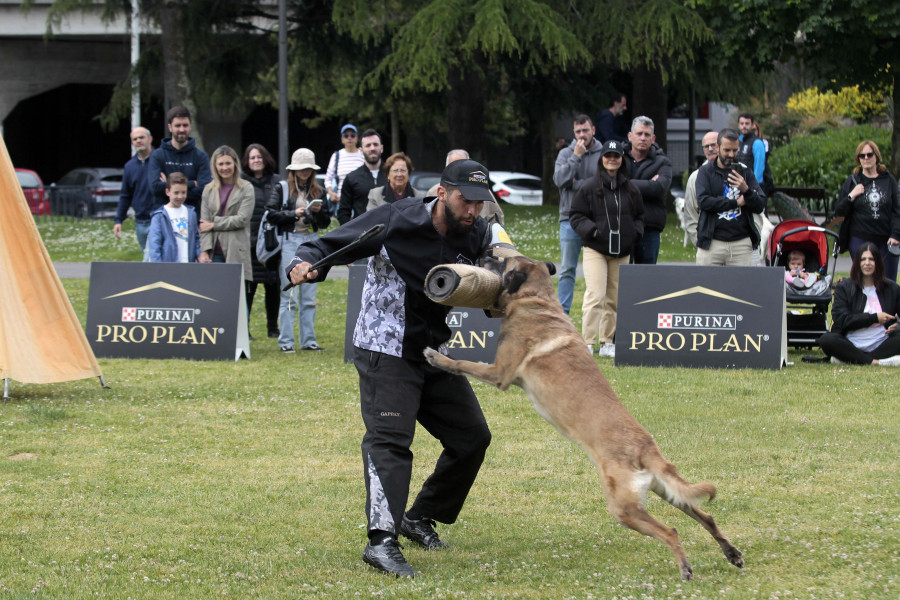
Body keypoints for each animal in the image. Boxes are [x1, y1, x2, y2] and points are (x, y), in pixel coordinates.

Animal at [426, 254, 740, 580]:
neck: (537, 300)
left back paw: (686, 568)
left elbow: (463, 363)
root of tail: (645, 448)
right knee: (707, 516)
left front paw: (437, 356)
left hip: (624, 508)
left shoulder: (499, 372)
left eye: (502, 262)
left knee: (671, 531)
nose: (485, 253)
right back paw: (732, 553)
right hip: (666, 492)